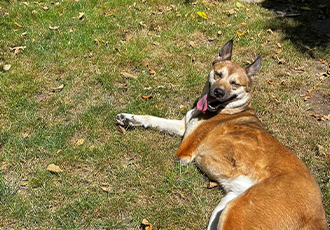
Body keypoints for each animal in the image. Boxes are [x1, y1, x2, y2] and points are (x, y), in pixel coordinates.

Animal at [115, 40, 324, 229]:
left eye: (235, 83)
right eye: (218, 74)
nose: (218, 92)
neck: (228, 110)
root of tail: (318, 216)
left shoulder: (184, 153)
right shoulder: (183, 126)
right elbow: (153, 119)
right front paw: (129, 118)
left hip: (239, 211)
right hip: (224, 208)